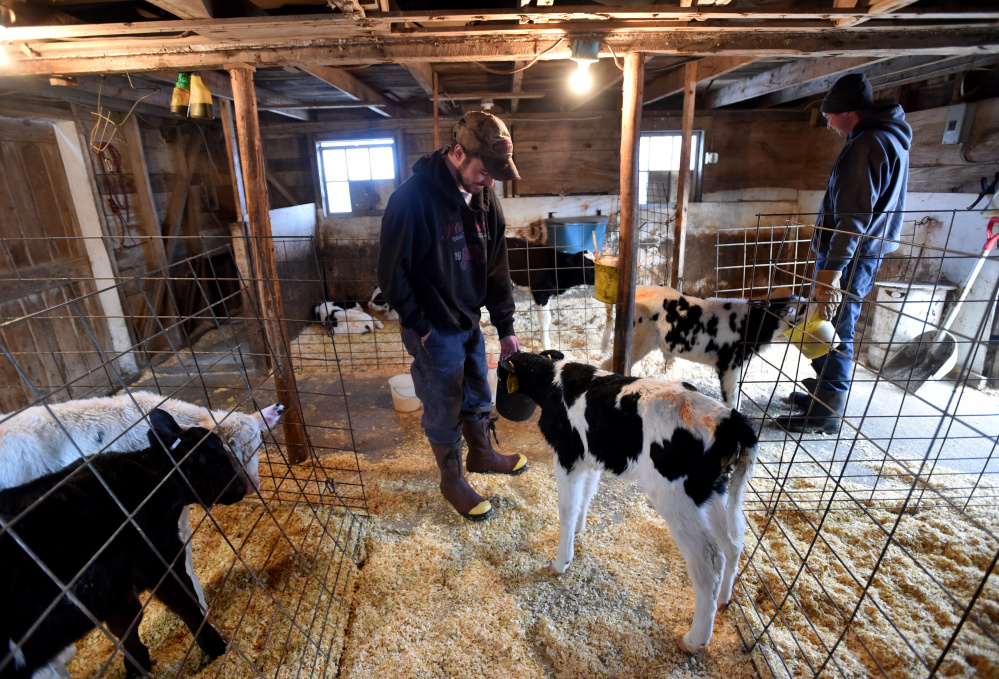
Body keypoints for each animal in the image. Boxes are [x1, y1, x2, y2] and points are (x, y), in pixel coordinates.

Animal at [496, 350, 760, 652]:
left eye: (500, 375)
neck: (553, 382)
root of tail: (728, 418)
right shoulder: (591, 456)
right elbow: (587, 493)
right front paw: (579, 530)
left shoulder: (567, 455)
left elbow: (566, 508)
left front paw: (561, 560)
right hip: (712, 491)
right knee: (733, 543)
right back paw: (724, 600)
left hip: (675, 499)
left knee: (709, 563)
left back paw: (694, 640)